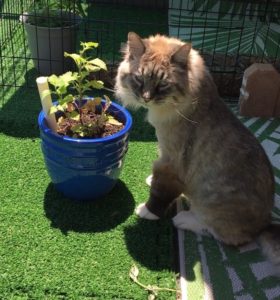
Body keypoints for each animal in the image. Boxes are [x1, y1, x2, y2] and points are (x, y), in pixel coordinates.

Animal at [114, 31, 280, 274]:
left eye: (162, 84)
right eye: (139, 79)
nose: (146, 97)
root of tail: (266, 223)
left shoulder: (170, 162)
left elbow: (159, 193)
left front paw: (147, 211)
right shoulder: (163, 153)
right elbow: (157, 182)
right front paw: (150, 181)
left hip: (211, 207)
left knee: (224, 235)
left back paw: (183, 219)